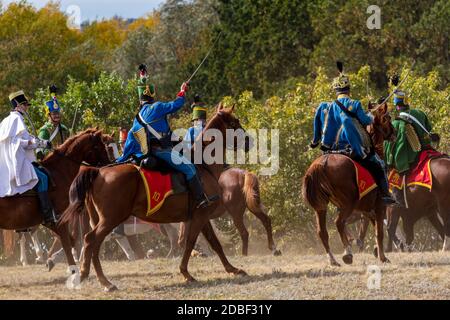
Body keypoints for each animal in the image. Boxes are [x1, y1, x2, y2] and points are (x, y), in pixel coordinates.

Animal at [0, 127, 110, 270]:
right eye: (98, 146)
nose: (108, 164)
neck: (59, 172)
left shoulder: (50, 221)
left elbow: (71, 240)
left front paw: (52, 259)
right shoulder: (59, 217)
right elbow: (67, 241)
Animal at [58, 104, 251, 290]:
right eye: (234, 122)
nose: (250, 141)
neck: (202, 165)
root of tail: (98, 172)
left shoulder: (200, 217)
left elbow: (213, 243)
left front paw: (232, 269)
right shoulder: (200, 216)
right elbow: (190, 242)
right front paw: (186, 272)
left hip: (101, 220)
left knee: (93, 244)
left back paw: (92, 276)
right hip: (110, 219)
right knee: (91, 240)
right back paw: (102, 281)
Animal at [302, 102, 394, 264]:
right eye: (387, 118)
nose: (394, 133)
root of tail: (322, 164)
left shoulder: (366, 210)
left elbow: (371, 227)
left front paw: (376, 250)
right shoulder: (378, 206)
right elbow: (379, 232)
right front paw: (382, 257)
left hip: (321, 207)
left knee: (323, 231)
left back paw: (333, 259)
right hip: (348, 203)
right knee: (339, 223)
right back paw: (347, 254)